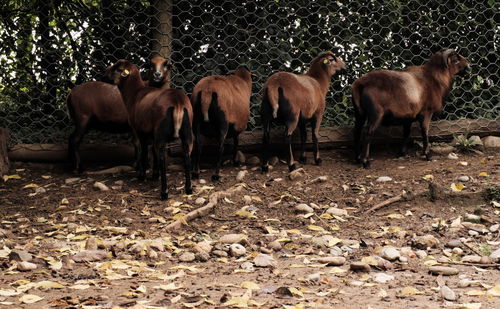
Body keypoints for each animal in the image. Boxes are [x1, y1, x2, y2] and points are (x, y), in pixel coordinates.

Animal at [104, 59, 192, 200]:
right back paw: (189, 189)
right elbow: (152, 153)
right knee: (187, 157)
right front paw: (154, 175)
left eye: (118, 69)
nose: (104, 73)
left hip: (161, 134)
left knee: (163, 159)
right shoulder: (150, 134)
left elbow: (143, 151)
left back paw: (164, 193)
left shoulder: (139, 131)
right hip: (187, 133)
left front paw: (142, 175)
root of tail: (178, 103)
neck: (134, 94)